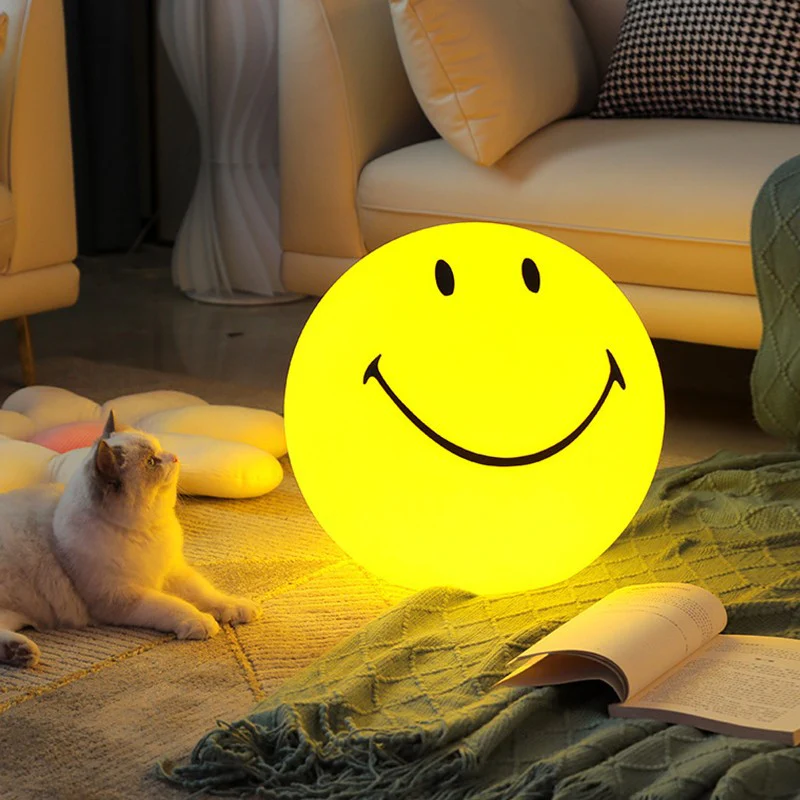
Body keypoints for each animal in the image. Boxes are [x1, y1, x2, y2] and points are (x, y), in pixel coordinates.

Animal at [0, 412, 260, 668]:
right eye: (151, 462)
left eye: (160, 450)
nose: (174, 457)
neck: (147, 530)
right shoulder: (125, 597)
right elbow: (174, 604)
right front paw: (200, 620)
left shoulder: (174, 572)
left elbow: (208, 594)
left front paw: (238, 607)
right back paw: (23, 654)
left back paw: (20, 653)